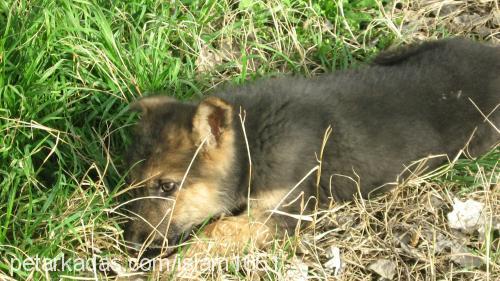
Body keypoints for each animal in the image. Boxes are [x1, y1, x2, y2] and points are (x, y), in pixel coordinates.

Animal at [123, 38, 498, 258]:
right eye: (134, 184)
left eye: (167, 186)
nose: (132, 242)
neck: (251, 142)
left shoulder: (286, 211)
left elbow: (217, 230)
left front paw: (168, 268)